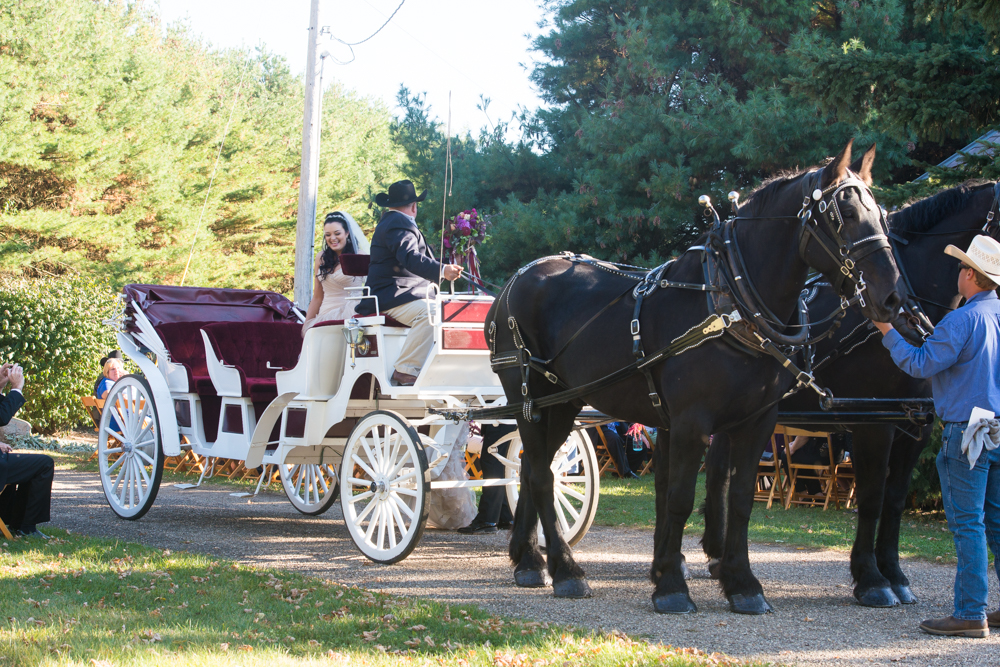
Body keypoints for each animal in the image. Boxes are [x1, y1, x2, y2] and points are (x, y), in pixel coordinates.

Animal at [488, 141, 904, 616]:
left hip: (563, 403)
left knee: (529, 468)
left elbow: (738, 499)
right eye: (845, 214)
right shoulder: (691, 422)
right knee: (541, 475)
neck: (731, 302)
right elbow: (680, 498)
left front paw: (743, 583)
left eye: (882, 215)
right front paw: (671, 585)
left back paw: (529, 561)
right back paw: (565, 570)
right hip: (533, 399)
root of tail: (516, 280)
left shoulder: (756, 422)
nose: (891, 297)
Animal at [704, 179, 1000, 612]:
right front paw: (872, 580)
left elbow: (894, 500)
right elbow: (872, 498)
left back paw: (716, 555)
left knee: (720, 470)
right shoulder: (871, 422)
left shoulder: (915, 423)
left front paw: (895, 575)